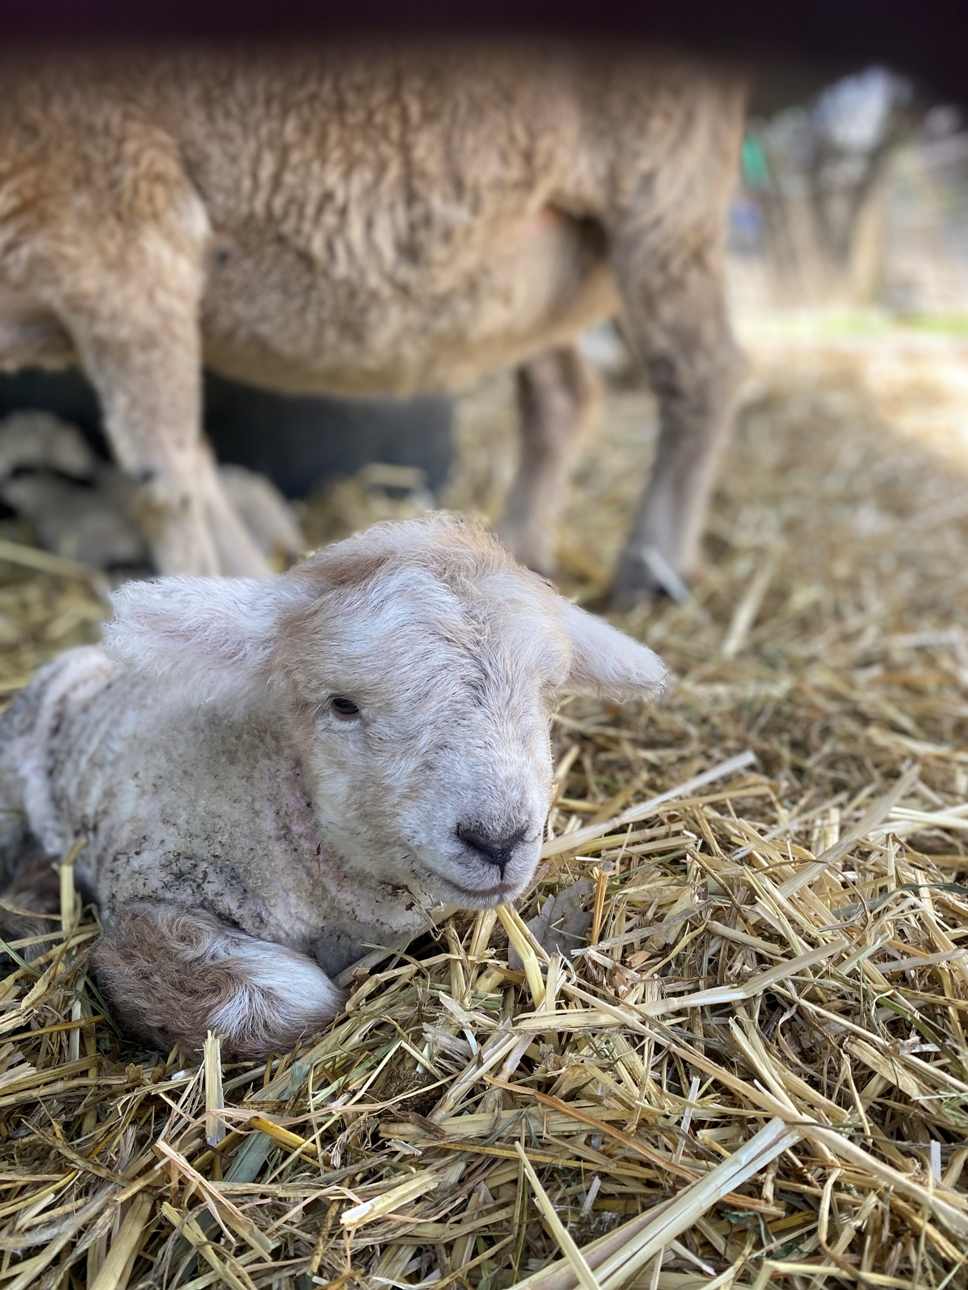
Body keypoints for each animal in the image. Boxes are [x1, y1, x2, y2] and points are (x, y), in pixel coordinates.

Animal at [0, 41, 747, 602]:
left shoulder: (128, 249)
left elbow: (169, 485)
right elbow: (195, 468)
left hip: (663, 198)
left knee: (704, 375)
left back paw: (652, 568)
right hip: (539, 275)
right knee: (563, 395)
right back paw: (521, 550)